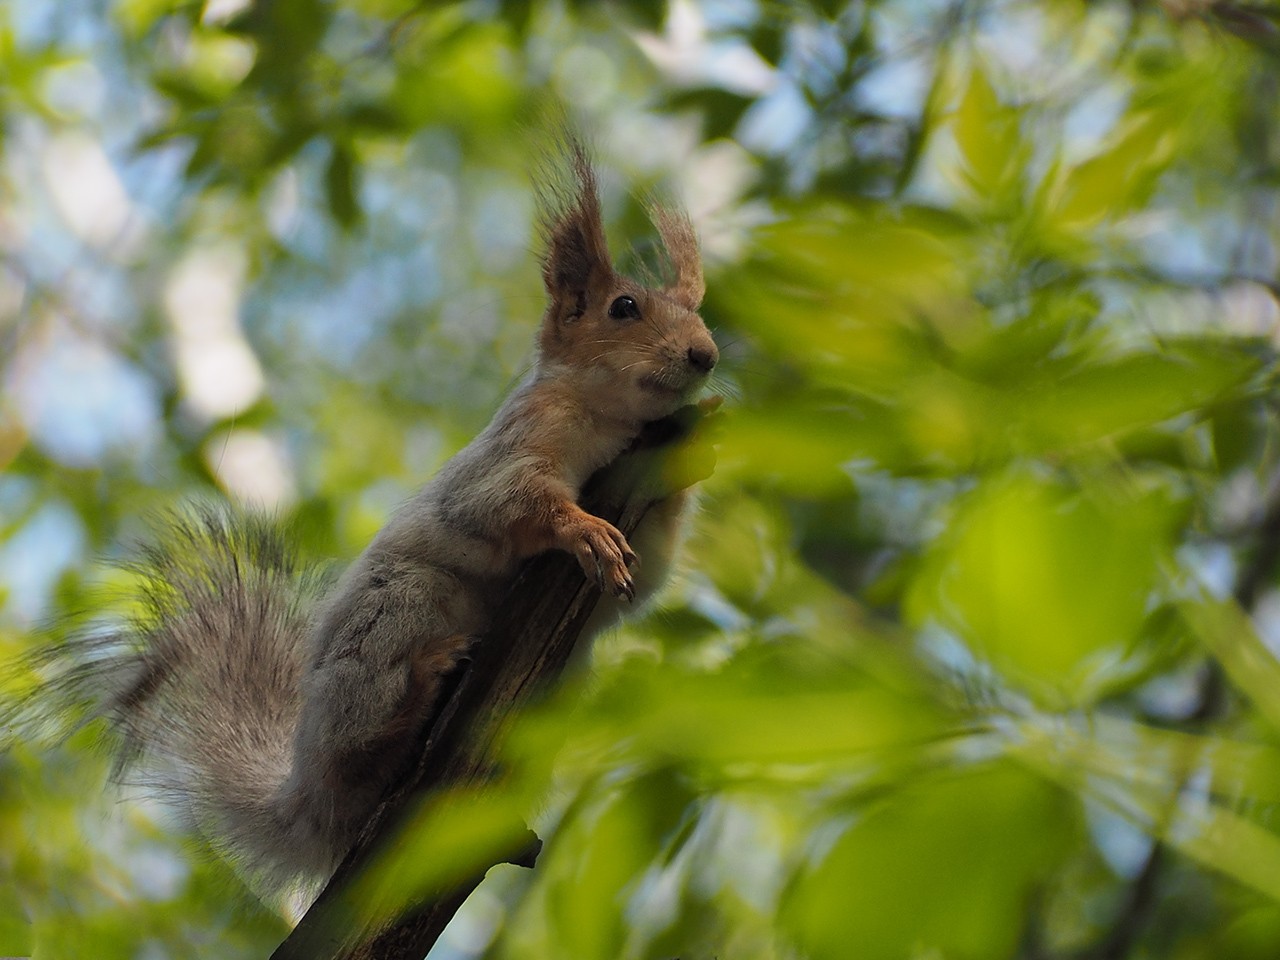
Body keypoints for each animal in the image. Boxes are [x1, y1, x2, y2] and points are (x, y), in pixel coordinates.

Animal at [30, 140, 716, 901]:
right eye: (624, 307)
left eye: (696, 309)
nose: (706, 355)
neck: (608, 422)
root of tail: (304, 793)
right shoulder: (509, 450)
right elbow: (507, 503)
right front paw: (584, 529)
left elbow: (648, 572)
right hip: (399, 613)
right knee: (362, 752)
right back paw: (420, 691)